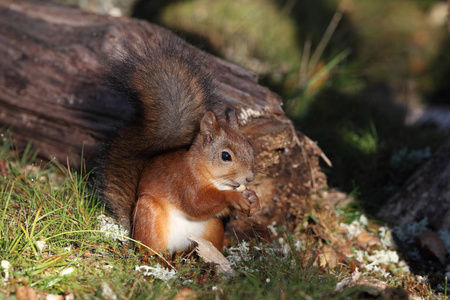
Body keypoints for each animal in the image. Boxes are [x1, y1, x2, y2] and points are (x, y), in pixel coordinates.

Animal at [98, 33, 260, 253]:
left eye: (250, 148)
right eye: (226, 156)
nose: (250, 178)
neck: (216, 180)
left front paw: (253, 198)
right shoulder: (184, 181)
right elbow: (197, 204)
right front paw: (233, 197)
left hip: (212, 228)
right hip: (150, 214)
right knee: (148, 249)